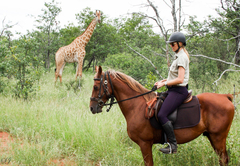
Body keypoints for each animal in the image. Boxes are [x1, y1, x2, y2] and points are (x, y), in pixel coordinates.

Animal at [89, 66, 234, 166]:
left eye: (96, 87)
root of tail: (225, 97)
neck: (137, 107)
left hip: (218, 137)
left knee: (223, 159)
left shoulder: (144, 143)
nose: (92, 107)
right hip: (212, 137)